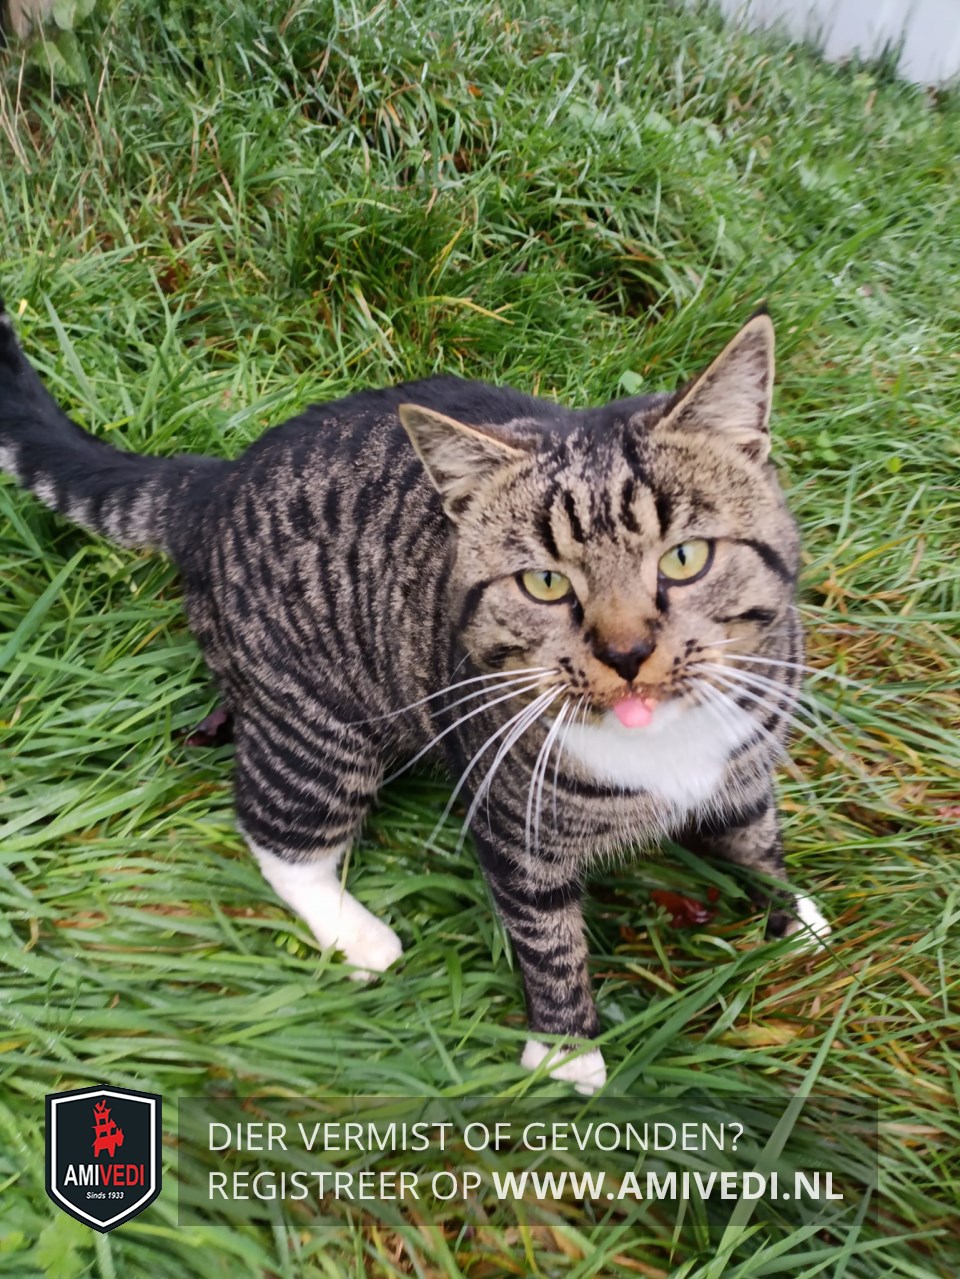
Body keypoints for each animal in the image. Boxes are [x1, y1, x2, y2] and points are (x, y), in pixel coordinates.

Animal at [0, 303, 829, 1093]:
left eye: (685, 557)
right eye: (545, 582)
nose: (625, 655)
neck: (664, 748)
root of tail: (214, 482)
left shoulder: (744, 763)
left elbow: (757, 839)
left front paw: (794, 917)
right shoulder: (514, 823)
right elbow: (548, 939)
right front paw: (566, 1054)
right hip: (317, 727)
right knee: (276, 831)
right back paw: (358, 932)